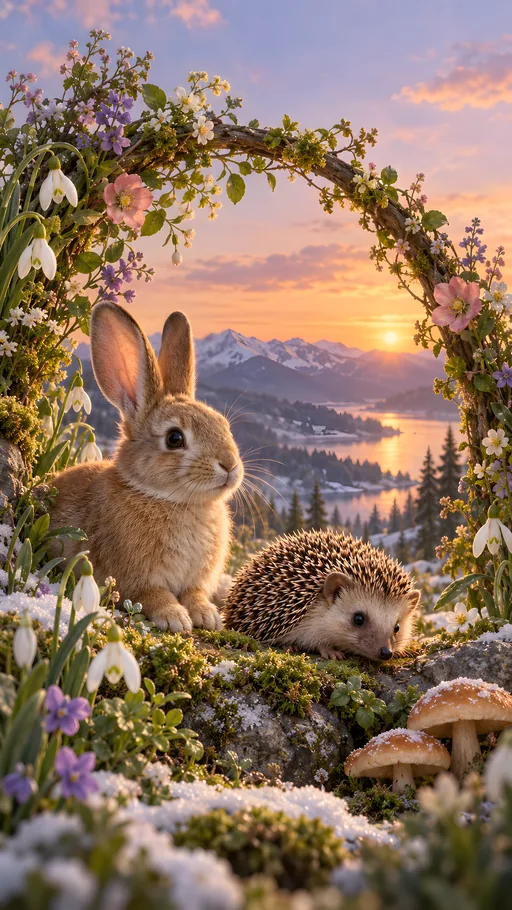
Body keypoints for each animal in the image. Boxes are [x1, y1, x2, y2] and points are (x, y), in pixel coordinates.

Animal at [49, 301, 243, 632]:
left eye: (224, 425)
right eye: (175, 438)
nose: (230, 465)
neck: (174, 501)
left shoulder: (194, 581)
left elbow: (195, 594)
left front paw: (207, 616)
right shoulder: (136, 579)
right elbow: (155, 595)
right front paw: (176, 618)